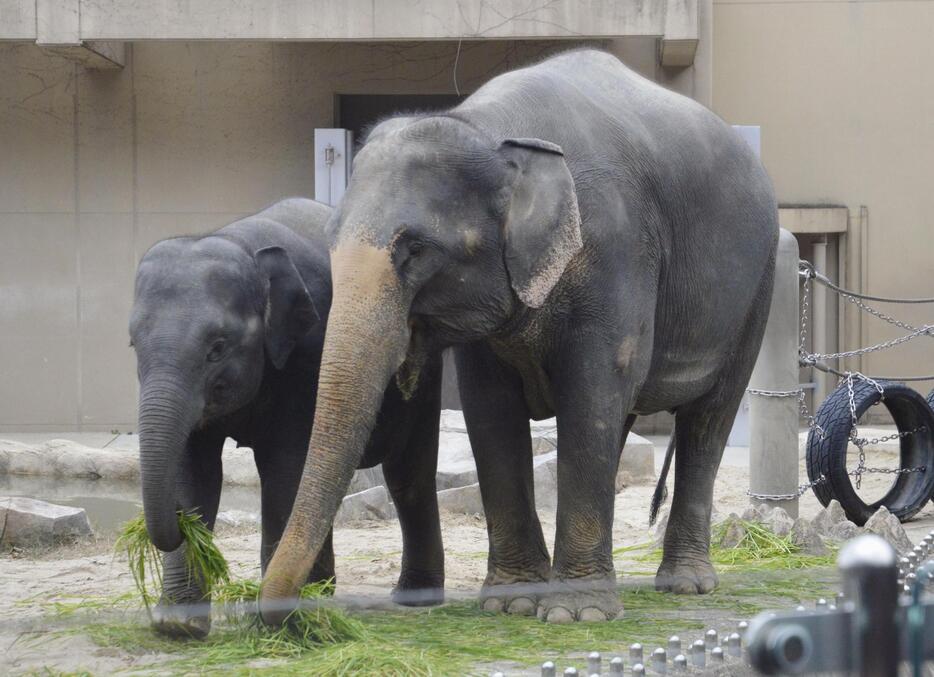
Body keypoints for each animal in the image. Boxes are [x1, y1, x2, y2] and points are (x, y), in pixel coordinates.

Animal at [129, 198, 446, 636]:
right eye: (132, 343)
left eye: (217, 348)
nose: (176, 525)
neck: (240, 243)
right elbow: (194, 469)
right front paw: (179, 626)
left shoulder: (307, 358)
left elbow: (283, 469)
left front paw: (273, 621)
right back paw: (323, 592)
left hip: (425, 374)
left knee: (407, 474)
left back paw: (412, 597)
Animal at [260, 50, 780, 624]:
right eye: (329, 240)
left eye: (415, 250)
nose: (292, 614)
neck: (492, 132)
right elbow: (491, 408)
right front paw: (511, 603)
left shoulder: (615, 251)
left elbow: (593, 391)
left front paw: (578, 614)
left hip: (760, 284)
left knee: (708, 419)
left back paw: (685, 585)